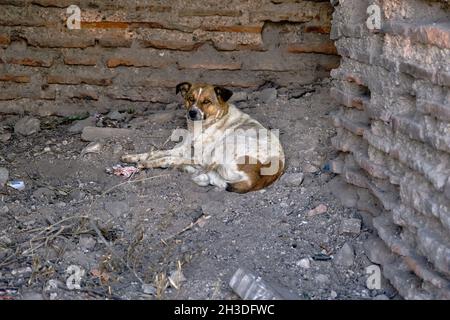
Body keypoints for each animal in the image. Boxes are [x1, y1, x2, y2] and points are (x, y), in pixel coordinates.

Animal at [122, 82, 284, 192]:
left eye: (206, 101)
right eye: (190, 98)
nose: (192, 113)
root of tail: (259, 176)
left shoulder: (198, 157)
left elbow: (166, 158)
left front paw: (146, 163)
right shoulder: (181, 150)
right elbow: (157, 152)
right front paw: (132, 157)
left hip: (224, 147)